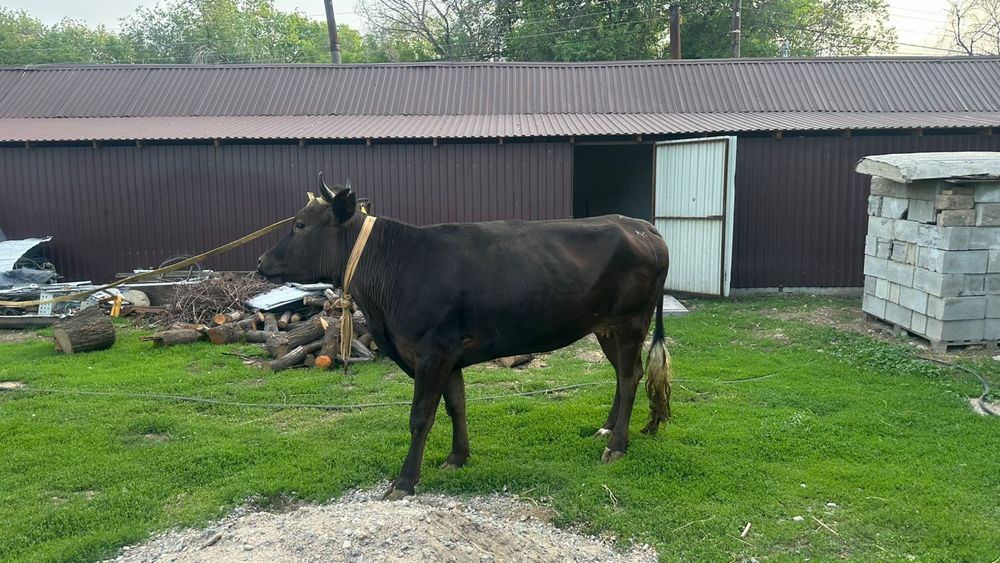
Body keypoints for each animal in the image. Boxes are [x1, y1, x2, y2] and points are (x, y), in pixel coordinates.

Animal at [258, 175, 673, 500]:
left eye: (300, 225)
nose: (261, 261)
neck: (397, 269)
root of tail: (641, 225)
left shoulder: (431, 353)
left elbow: (420, 417)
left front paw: (404, 482)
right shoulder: (449, 354)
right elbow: (456, 405)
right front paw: (458, 457)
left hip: (631, 321)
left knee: (630, 376)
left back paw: (616, 446)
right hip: (605, 327)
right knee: (622, 374)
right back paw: (607, 428)